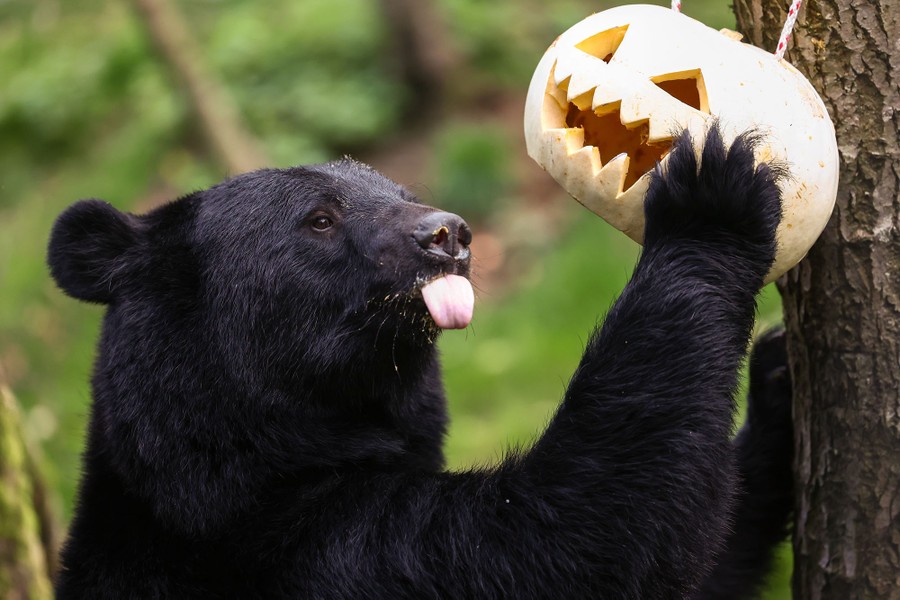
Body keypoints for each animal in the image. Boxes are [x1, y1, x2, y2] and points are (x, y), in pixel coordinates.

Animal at [47, 125, 793, 599]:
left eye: (401, 192)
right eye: (320, 219)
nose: (448, 234)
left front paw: (778, 378)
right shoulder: (304, 551)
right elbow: (562, 539)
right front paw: (710, 198)